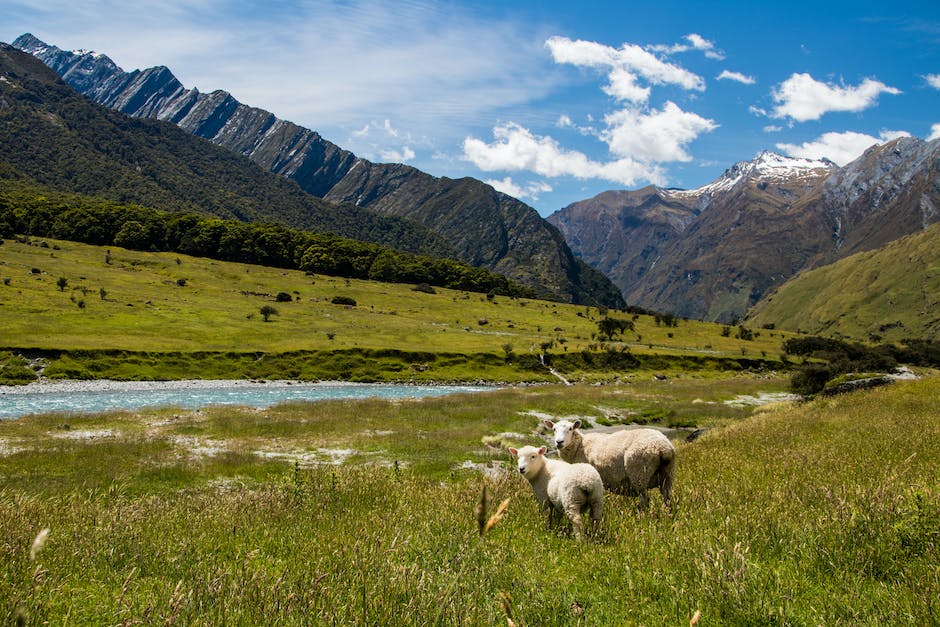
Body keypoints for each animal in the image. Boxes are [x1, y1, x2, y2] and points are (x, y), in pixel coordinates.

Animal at [544, 418, 676, 510]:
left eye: (571, 429)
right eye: (554, 429)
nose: (559, 442)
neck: (579, 446)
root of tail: (663, 448)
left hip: (639, 474)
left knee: (645, 500)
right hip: (667, 475)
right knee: (667, 498)